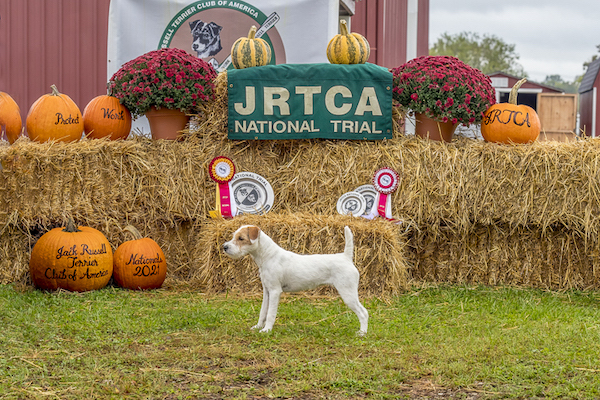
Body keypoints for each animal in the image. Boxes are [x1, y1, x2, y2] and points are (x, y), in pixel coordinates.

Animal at [223, 225, 368, 334]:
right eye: (234, 236)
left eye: (241, 238)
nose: (224, 247)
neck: (268, 256)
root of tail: (346, 257)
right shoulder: (267, 291)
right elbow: (263, 311)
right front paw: (258, 327)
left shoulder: (275, 291)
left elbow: (270, 313)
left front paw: (266, 330)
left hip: (348, 293)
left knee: (362, 313)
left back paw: (362, 333)